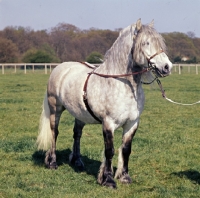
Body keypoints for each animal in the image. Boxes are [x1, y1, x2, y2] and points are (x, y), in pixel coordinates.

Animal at [36, 19, 173, 189]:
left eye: (160, 43)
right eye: (146, 43)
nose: (167, 67)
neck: (122, 84)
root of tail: (61, 67)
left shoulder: (132, 124)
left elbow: (126, 150)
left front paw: (124, 177)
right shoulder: (108, 123)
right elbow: (110, 151)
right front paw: (108, 180)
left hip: (79, 115)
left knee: (77, 134)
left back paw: (77, 161)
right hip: (56, 109)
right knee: (54, 133)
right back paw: (52, 162)